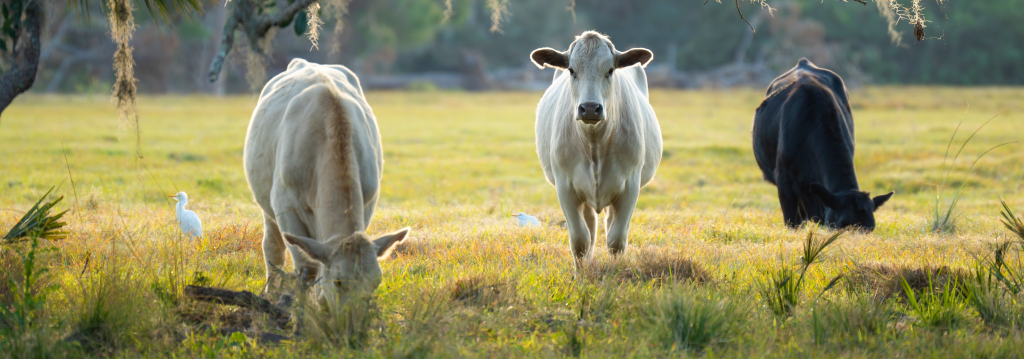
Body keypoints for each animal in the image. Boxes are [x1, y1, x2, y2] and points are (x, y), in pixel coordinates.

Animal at [243, 59, 407, 308]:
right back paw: (270, 292)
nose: (353, 318)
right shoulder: (285, 209)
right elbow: (307, 267)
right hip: (267, 208)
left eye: (376, 282)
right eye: (338, 281)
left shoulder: (368, 202)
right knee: (272, 248)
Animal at [528, 32, 663, 272]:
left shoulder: (630, 185)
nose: (590, 108)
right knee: (590, 226)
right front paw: (581, 274)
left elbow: (616, 239)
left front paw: (617, 271)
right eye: (572, 70)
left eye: (610, 70)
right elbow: (580, 240)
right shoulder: (565, 186)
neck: (594, 144)